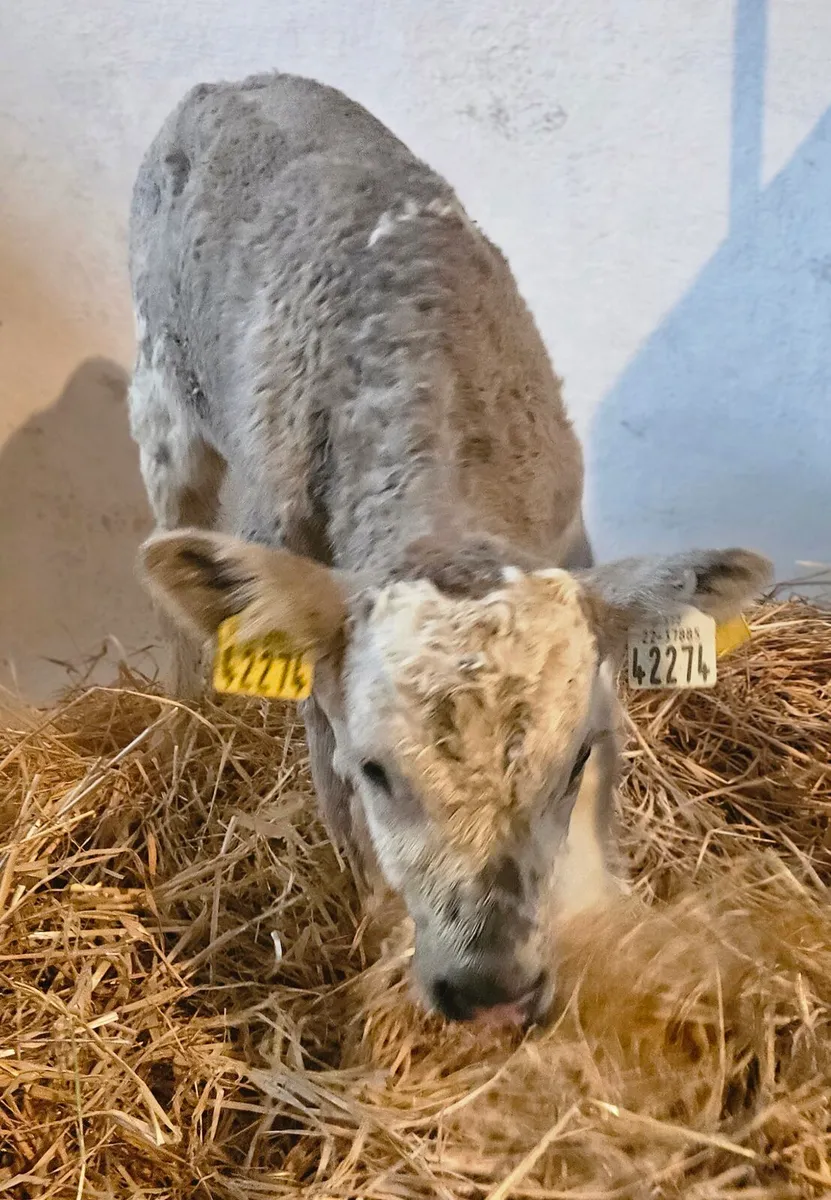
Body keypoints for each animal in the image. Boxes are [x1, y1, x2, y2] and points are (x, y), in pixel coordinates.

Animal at [129, 72, 772, 1027]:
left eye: (572, 760)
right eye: (376, 770)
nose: (491, 993)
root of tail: (234, 83)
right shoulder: (320, 694)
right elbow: (344, 825)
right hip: (161, 403)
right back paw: (179, 718)